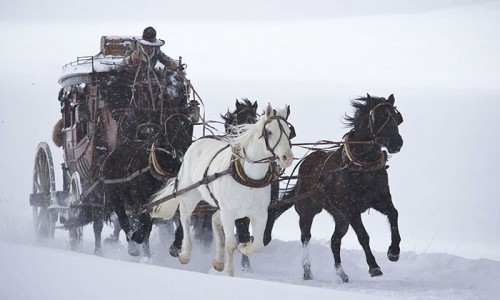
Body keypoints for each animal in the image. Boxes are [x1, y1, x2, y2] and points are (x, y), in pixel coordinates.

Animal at [150, 103, 294, 276]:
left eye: (289, 132)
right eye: (269, 132)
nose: (287, 158)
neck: (249, 179)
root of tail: (197, 142)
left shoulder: (259, 213)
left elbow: (258, 244)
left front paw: (244, 247)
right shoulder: (229, 213)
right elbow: (230, 245)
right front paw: (230, 273)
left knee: (213, 219)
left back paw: (218, 261)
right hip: (190, 196)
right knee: (185, 217)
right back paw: (185, 253)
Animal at [266, 94, 402, 282]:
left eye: (396, 118)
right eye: (378, 117)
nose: (397, 143)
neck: (362, 165)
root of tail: (305, 164)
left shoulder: (380, 200)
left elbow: (394, 214)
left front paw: (394, 251)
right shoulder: (351, 210)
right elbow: (363, 236)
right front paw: (374, 267)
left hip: (340, 217)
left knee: (334, 240)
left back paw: (341, 273)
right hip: (308, 210)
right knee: (305, 238)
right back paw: (307, 271)